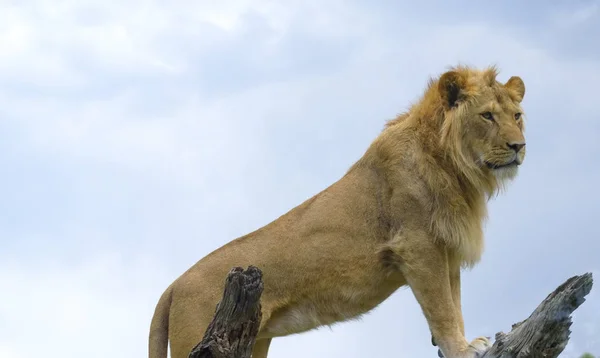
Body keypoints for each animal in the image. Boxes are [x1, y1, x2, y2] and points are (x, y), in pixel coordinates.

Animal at [149, 65, 524, 358]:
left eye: (517, 116)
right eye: (487, 115)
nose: (519, 146)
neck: (456, 167)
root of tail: (172, 287)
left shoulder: (445, 248)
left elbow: (455, 302)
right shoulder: (417, 246)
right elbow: (443, 308)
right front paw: (462, 348)